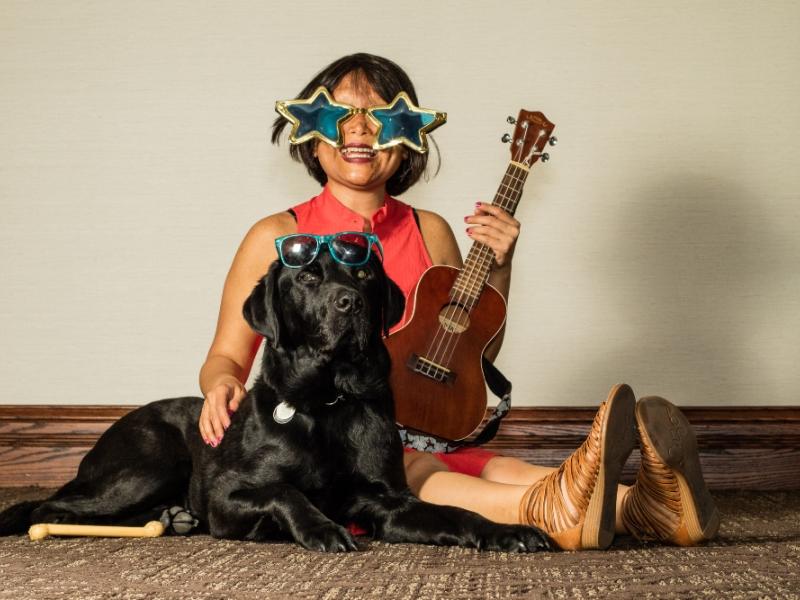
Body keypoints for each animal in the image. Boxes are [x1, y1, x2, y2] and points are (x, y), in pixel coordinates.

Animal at [0, 247, 552, 552]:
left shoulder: (390, 502)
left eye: (365, 276)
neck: (330, 401)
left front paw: (508, 531)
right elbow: (286, 490)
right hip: (150, 462)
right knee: (49, 506)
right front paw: (323, 529)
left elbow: (456, 515)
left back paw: (171, 519)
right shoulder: (226, 497)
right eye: (307, 277)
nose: (351, 302)